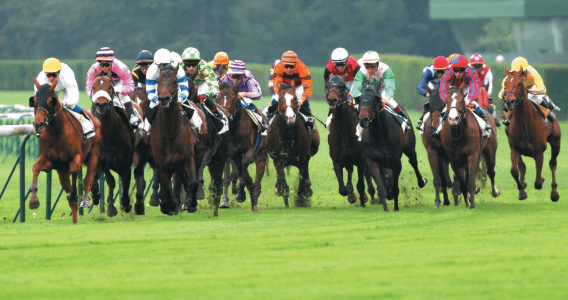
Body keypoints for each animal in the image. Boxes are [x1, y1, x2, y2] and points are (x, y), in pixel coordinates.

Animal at [27, 77, 102, 223]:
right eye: (35, 100)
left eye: (51, 101)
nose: (38, 124)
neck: (57, 132)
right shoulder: (50, 162)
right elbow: (35, 168)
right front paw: (33, 200)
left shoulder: (76, 157)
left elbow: (75, 170)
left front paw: (75, 194)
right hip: (61, 171)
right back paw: (74, 218)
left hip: (94, 153)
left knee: (88, 177)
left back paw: (85, 199)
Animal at [90, 73, 144, 218]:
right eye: (93, 87)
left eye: (110, 87)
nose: (101, 104)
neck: (109, 136)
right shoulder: (103, 161)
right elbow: (110, 181)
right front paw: (110, 206)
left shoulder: (126, 162)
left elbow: (126, 182)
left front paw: (125, 204)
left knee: (138, 175)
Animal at [217, 82, 270, 213]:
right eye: (217, 98)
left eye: (233, 99)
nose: (225, 116)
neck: (235, 129)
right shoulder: (233, 154)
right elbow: (241, 174)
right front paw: (241, 193)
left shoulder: (249, 151)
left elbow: (243, 170)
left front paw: (241, 193)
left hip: (262, 156)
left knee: (257, 182)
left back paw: (255, 205)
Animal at [326, 75, 374, 206]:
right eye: (328, 85)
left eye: (342, 86)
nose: (332, 100)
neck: (344, 132)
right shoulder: (336, 159)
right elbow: (342, 189)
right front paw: (350, 193)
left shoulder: (361, 159)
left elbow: (361, 183)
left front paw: (364, 198)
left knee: (368, 174)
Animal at [502, 66, 560, 202]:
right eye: (505, 83)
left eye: (519, 83)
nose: (509, 102)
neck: (525, 124)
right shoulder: (515, 147)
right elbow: (515, 170)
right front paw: (522, 188)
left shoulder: (539, 151)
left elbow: (538, 182)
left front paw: (542, 180)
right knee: (522, 166)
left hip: (556, 141)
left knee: (553, 163)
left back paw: (554, 193)